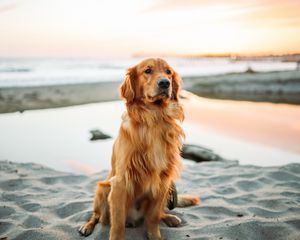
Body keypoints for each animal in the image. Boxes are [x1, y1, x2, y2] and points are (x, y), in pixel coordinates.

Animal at [79, 58, 199, 240]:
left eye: (168, 72)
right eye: (147, 71)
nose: (165, 83)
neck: (154, 117)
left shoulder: (163, 180)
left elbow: (153, 217)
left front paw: (155, 236)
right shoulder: (120, 182)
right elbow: (117, 224)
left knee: (158, 213)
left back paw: (170, 217)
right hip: (102, 189)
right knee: (97, 216)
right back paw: (87, 226)